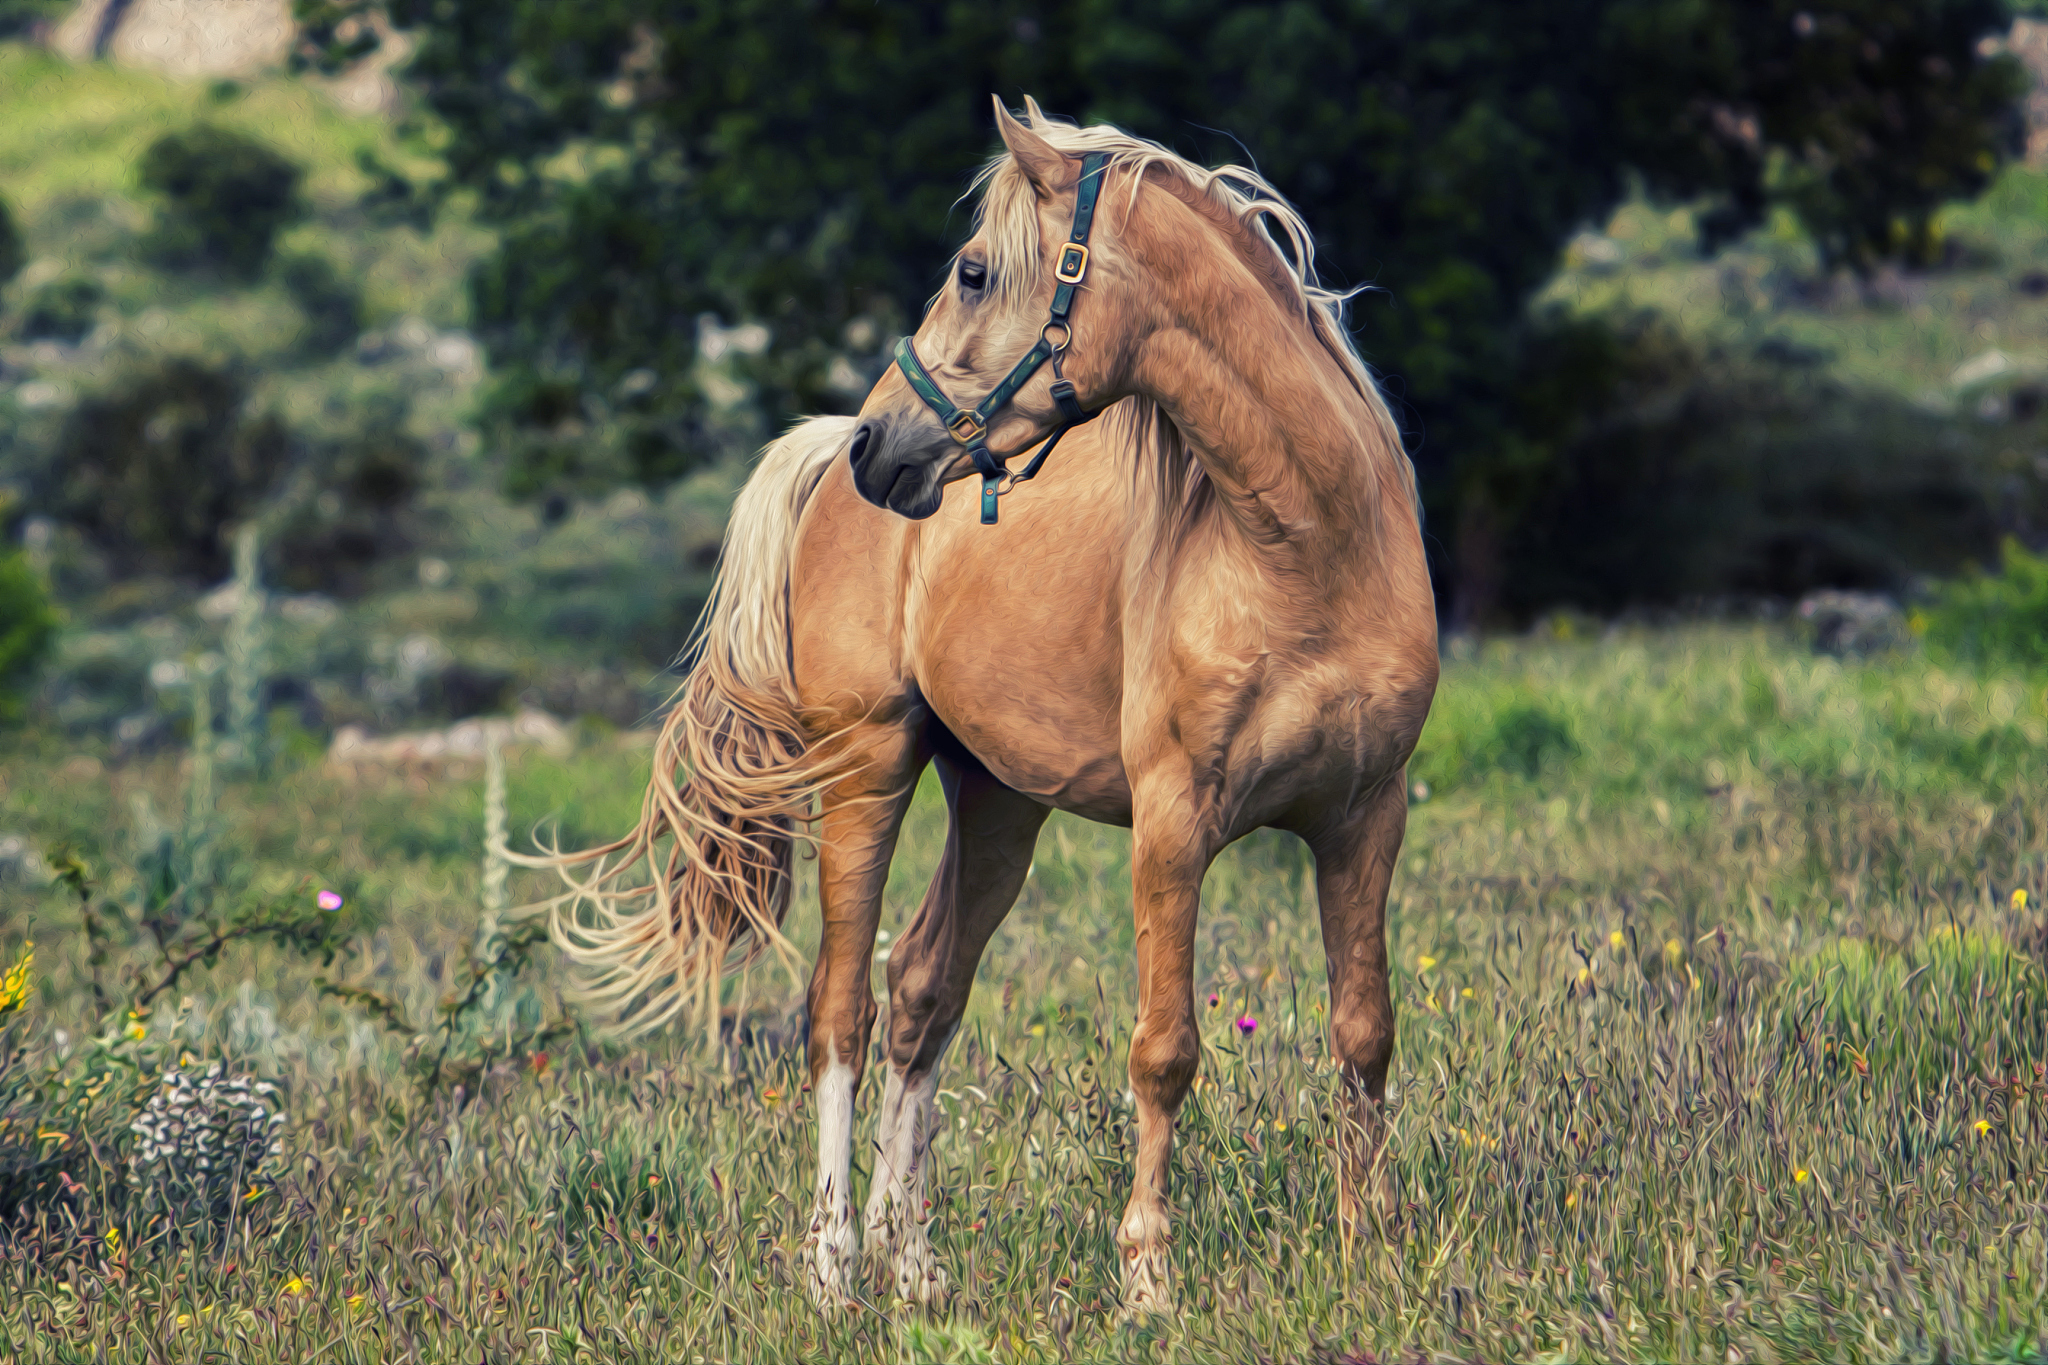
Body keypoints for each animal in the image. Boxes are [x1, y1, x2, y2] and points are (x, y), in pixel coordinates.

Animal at [533, 97, 1438, 1313]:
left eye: (970, 271)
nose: (877, 445)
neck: (1304, 547)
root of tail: (822, 467)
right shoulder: (1172, 828)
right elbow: (1164, 1050)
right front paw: (1147, 1277)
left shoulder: (1363, 818)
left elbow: (1363, 1032)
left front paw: (1367, 1253)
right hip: (866, 771)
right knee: (841, 1012)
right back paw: (835, 1268)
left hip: (1001, 801)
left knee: (923, 988)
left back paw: (912, 1266)